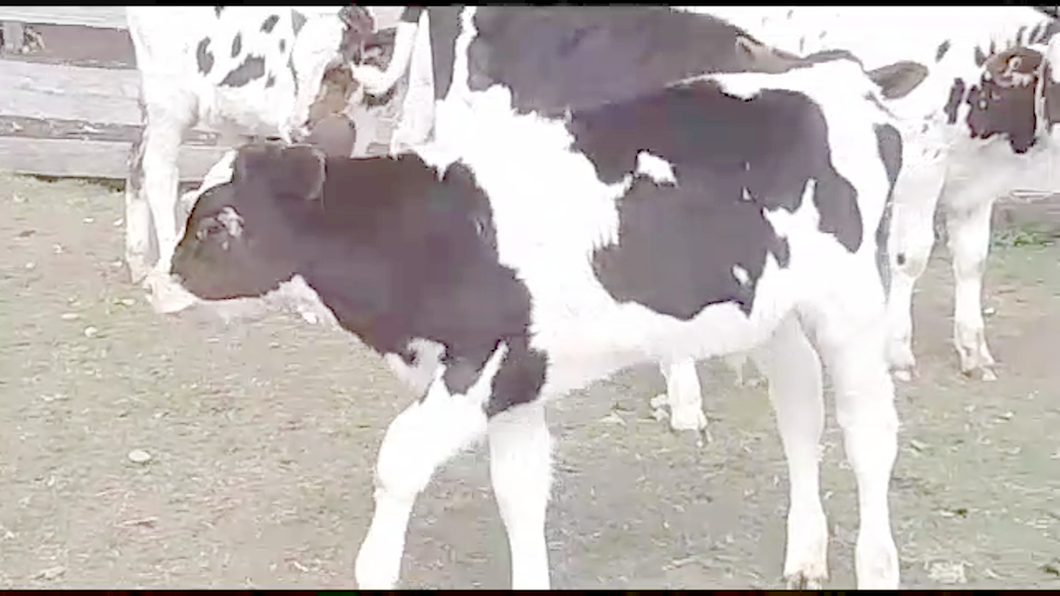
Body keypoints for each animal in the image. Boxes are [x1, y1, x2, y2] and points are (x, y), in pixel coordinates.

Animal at [124, 6, 377, 313]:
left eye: (337, 67)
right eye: (294, 70)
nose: (297, 127)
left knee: (137, 160)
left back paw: (138, 261)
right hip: (168, 101)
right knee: (158, 174)